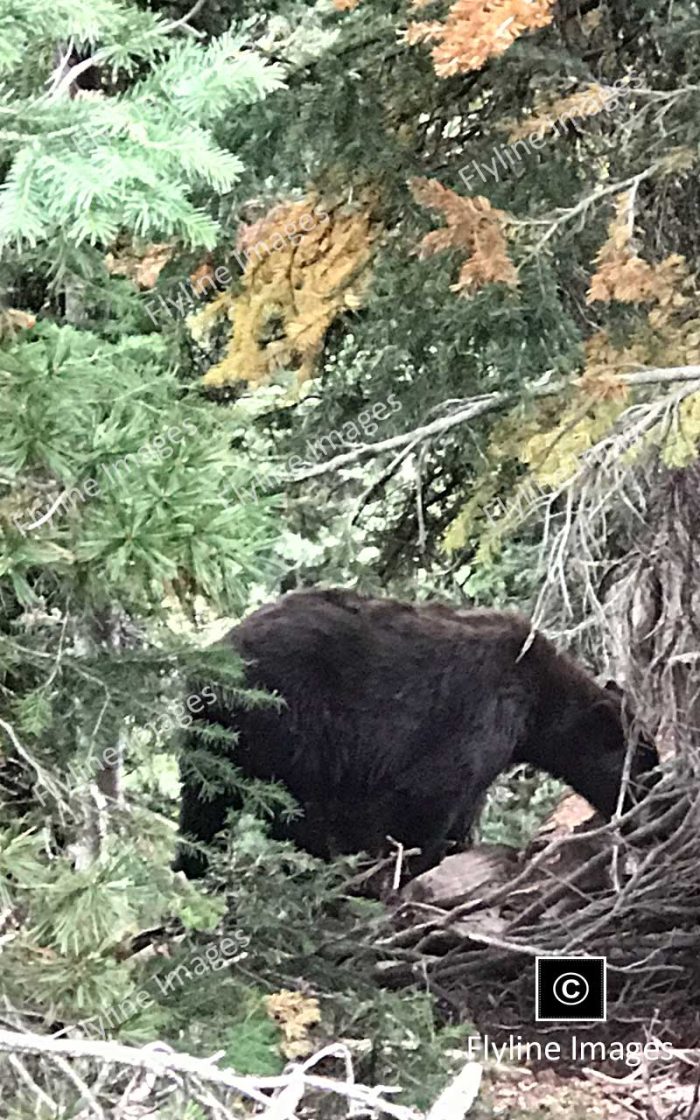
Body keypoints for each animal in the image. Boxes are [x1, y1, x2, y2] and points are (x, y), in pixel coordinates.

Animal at [173, 586, 654, 873]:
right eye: (644, 765)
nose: (644, 810)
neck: (539, 704)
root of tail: (210, 664)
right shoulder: (478, 713)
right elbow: (426, 797)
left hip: (219, 741)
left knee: (202, 809)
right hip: (290, 721)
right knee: (297, 810)